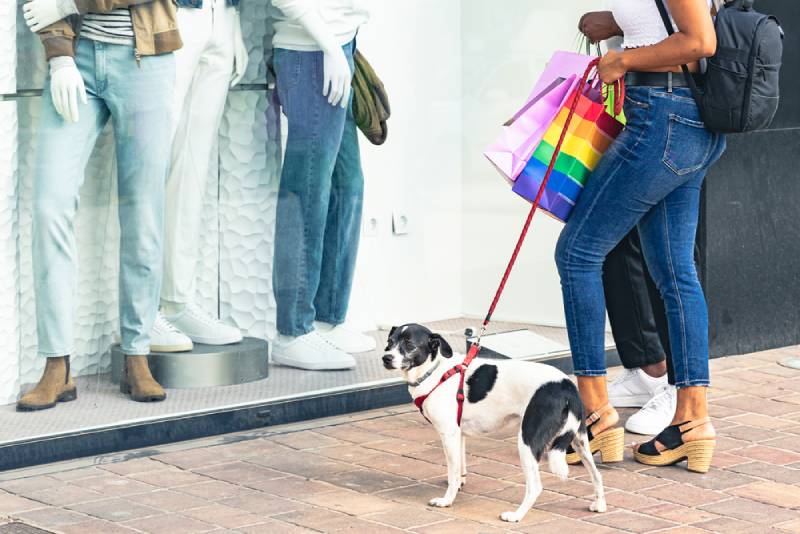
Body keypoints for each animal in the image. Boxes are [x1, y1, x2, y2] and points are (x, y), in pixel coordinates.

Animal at [382, 324, 608, 524]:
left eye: (409, 344)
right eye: (389, 342)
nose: (386, 358)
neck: (435, 371)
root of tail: (567, 386)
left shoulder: (448, 434)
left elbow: (452, 472)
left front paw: (447, 500)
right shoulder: (458, 433)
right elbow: (459, 467)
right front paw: (460, 482)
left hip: (528, 441)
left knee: (535, 486)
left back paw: (516, 516)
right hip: (580, 441)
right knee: (596, 474)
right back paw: (600, 505)